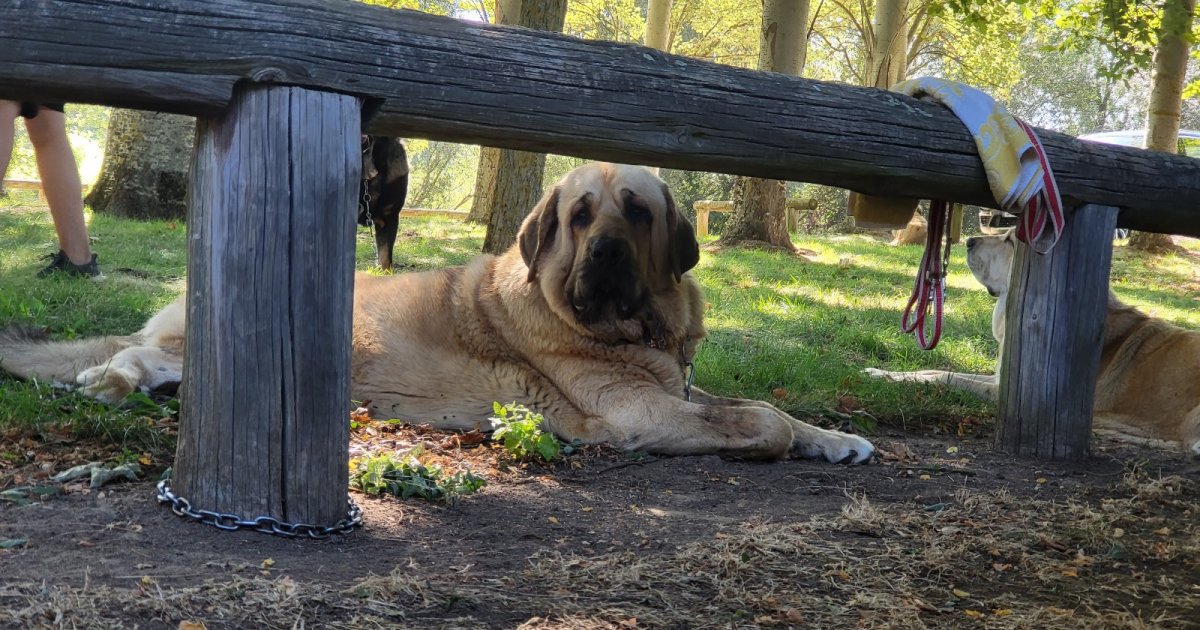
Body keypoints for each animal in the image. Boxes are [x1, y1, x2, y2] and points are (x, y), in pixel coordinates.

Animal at [4, 164, 878, 463]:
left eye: (635, 211)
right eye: (578, 217)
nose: (603, 254)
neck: (638, 332)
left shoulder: (679, 391)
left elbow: (763, 405)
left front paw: (835, 438)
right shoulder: (642, 412)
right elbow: (761, 418)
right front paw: (790, 440)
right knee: (135, 357)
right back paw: (108, 382)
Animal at [868, 228, 1200, 453]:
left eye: (1010, 242)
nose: (970, 241)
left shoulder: (1001, 390)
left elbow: (946, 378)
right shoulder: (998, 378)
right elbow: (937, 371)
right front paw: (881, 373)